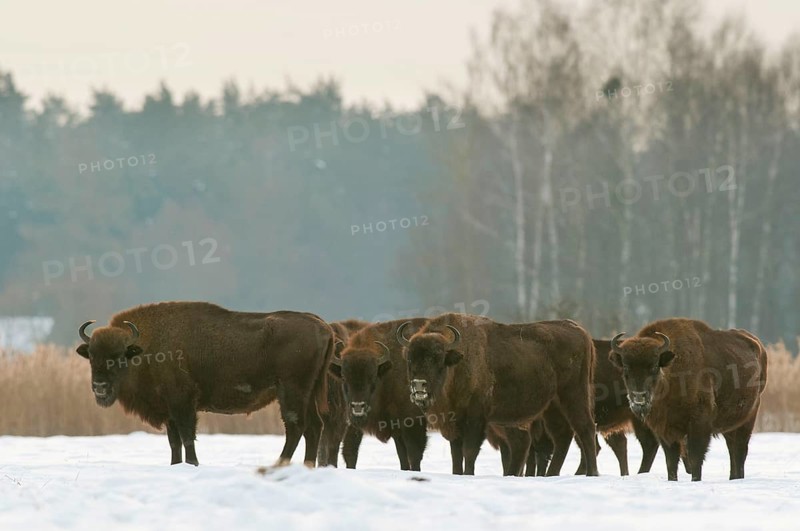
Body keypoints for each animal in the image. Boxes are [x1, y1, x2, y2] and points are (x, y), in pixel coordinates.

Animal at [76, 301, 334, 467]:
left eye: (119, 356)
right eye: (92, 356)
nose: (99, 386)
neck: (146, 348)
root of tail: (323, 326)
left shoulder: (183, 404)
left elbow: (187, 436)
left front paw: (193, 463)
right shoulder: (169, 410)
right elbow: (174, 442)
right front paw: (176, 465)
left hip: (291, 390)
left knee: (296, 426)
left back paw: (281, 463)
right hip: (309, 392)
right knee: (314, 427)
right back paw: (308, 465)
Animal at [399, 314, 599, 476]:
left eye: (437, 359)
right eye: (409, 359)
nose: (419, 386)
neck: (459, 363)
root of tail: (580, 331)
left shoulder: (476, 418)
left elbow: (469, 451)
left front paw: (468, 474)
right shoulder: (453, 422)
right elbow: (456, 454)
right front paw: (457, 474)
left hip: (574, 395)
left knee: (585, 429)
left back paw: (592, 473)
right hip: (552, 406)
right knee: (562, 437)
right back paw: (551, 475)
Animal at [609, 318, 767, 481]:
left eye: (654, 366)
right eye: (626, 368)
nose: (639, 396)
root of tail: (758, 346)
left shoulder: (699, 424)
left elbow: (695, 458)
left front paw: (695, 480)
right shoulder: (665, 430)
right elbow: (671, 461)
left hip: (748, 419)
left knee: (740, 450)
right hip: (730, 425)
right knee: (732, 449)